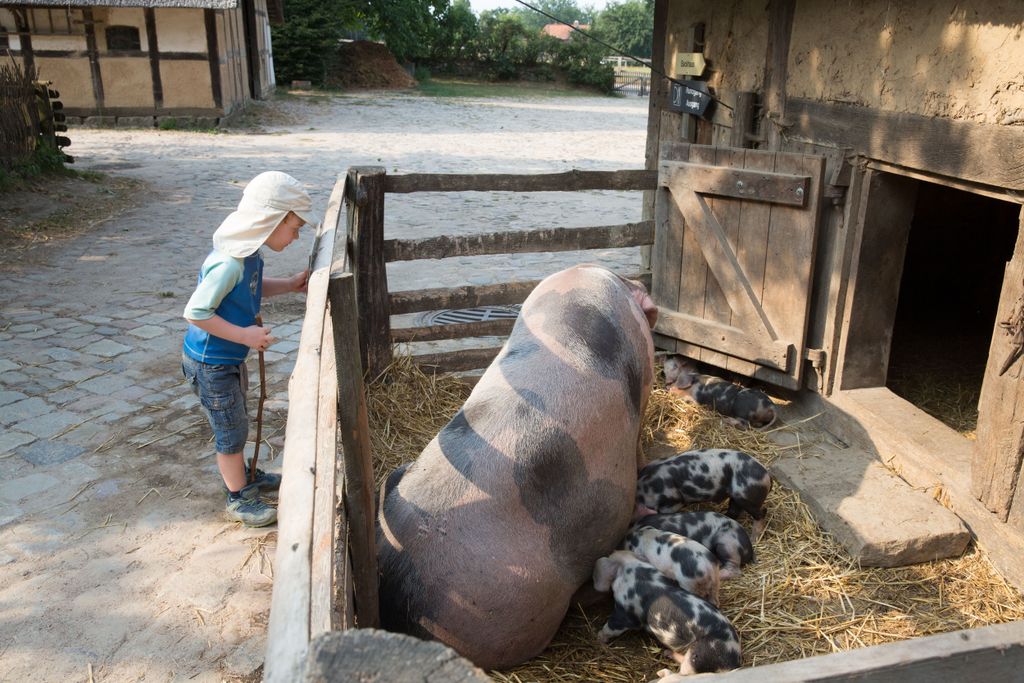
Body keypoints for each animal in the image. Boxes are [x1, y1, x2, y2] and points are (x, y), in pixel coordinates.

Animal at [589, 552, 741, 675]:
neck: (632, 567)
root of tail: (732, 661)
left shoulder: (625, 613)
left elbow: (612, 626)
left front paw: (599, 638)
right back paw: (667, 653)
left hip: (698, 656)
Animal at [634, 448, 770, 540]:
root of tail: (767, 476)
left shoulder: (673, 503)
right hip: (737, 497)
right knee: (734, 511)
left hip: (747, 496)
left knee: (762, 512)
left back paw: (754, 538)